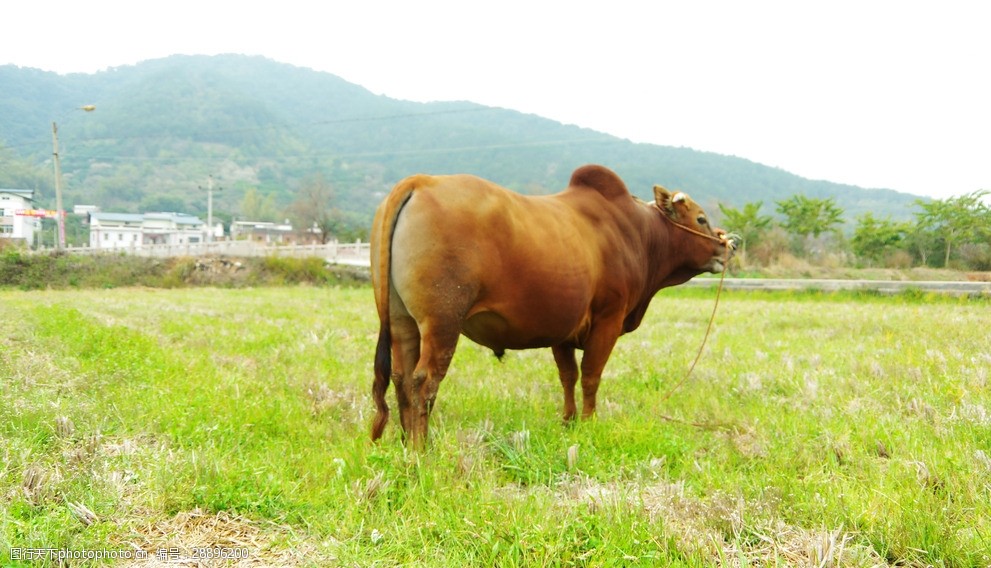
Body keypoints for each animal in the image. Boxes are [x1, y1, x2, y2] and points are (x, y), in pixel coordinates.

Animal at [370, 162, 736, 446]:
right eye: (700, 219)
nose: (729, 245)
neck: (638, 233)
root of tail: (421, 181)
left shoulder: (564, 330)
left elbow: (568, 377)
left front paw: (568, 421)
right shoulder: (608, 319)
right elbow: (591, 376)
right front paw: (588, 423)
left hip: (401, 320)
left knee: (401, 378)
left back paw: (404, 440)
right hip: (443, 322)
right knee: (424, 381)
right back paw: (421, 449)